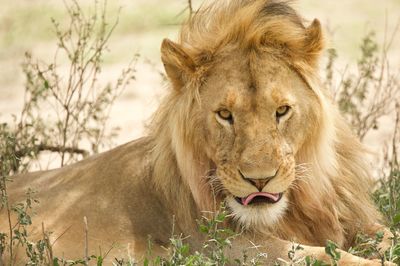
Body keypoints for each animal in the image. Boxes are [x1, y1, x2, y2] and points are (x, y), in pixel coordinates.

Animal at [0, 0, 394, 264]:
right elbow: (318, 255)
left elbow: (387, 236)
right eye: (224, 115)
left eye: (281, 111)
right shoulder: (221, 246)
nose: (260, 180)